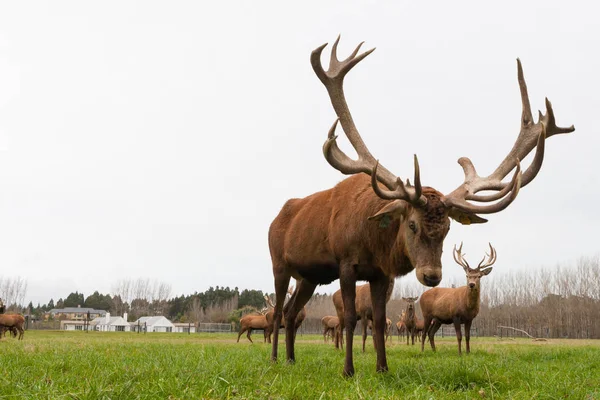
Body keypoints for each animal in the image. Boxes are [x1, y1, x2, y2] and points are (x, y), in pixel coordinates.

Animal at [270, 36, 576, 376]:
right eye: (412, 223)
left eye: (448, 228)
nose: (432, 276)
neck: (372, 239)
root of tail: (277, 217)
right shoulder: (345, 263)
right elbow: (350, 318)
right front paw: (348, 370)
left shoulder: (381, 274)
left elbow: (379, 322)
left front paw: (382, 368)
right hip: (279, 264)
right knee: (279, 310)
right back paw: (274, 359)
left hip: (309, 276)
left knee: (291, 311)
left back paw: (291, 358)